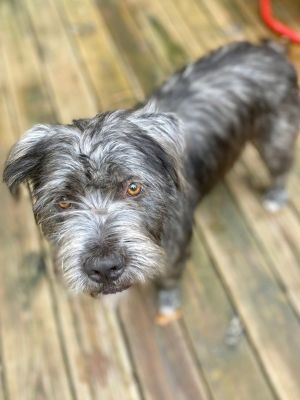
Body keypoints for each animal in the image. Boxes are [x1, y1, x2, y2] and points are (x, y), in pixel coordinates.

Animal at [2, 40, 300, 316]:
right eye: (63, 201)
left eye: (133, 187)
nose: (104, 268)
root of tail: (271, 49)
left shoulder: (175, 252)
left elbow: (169, 279)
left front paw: (168, 301)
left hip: (275, 140)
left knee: (281, 168)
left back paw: (275, 196)